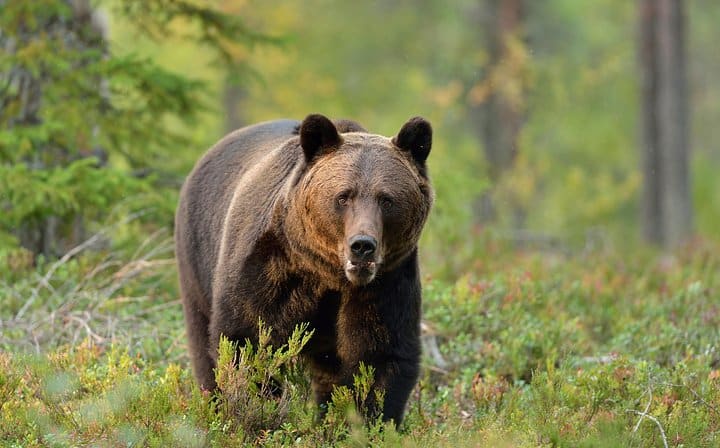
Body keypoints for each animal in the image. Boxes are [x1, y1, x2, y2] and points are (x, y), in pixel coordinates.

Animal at [174, 113, 433, 425]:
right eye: (343, 196)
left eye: (386, 199)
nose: (362, 245)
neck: (329, 275)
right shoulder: (272, 268)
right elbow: (246, 339)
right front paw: (257, 408)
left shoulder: (386, 283)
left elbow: (379, 355)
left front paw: (367, 421)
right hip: (197, 258)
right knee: (202, 341)